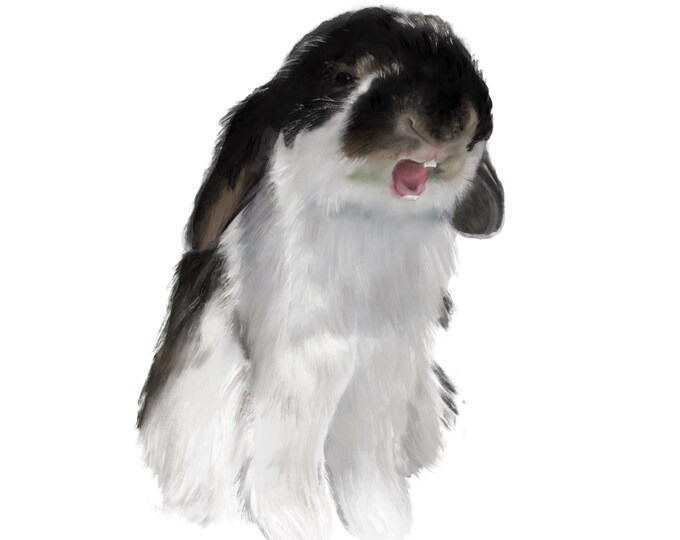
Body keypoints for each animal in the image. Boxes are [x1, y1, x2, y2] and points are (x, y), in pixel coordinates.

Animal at [137, 7, 503, 540]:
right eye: (344, 79)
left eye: (466, 65)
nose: (451, 118)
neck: (368, 222)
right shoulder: (301, 373)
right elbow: (286, 476)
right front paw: (303, 525)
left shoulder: (381, 378)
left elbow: (371, 482)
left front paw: (385, 524)